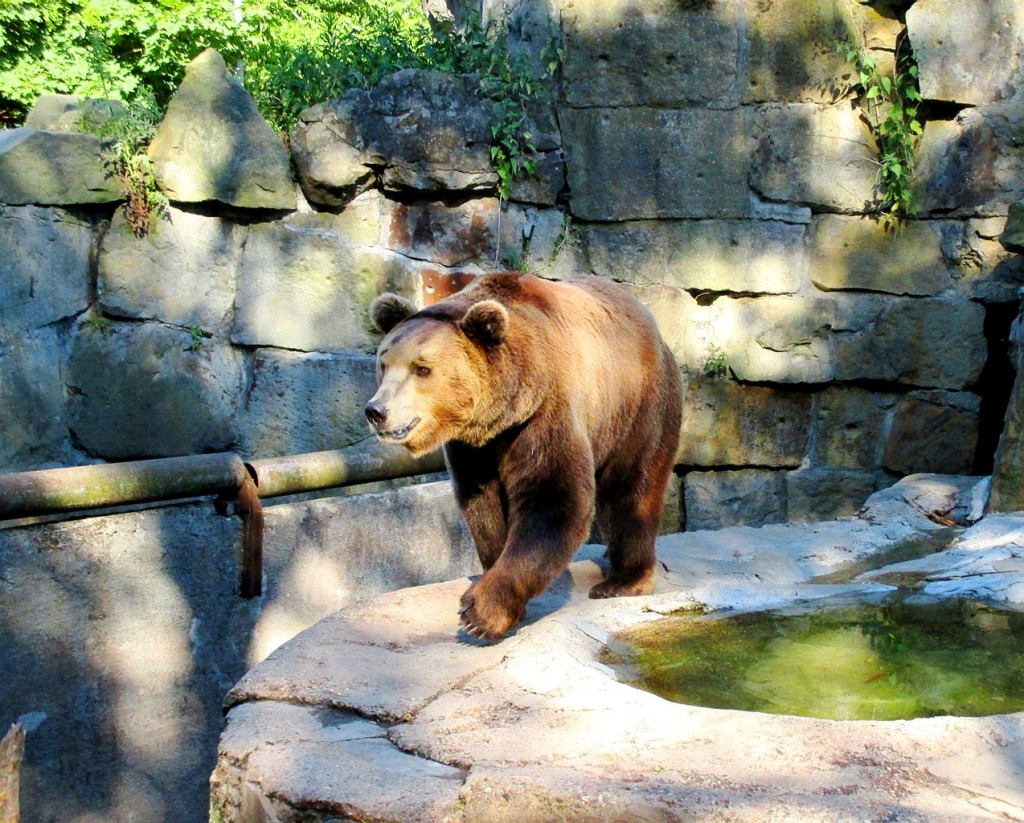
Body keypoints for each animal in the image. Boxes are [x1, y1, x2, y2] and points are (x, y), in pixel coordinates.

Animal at [366, 272, 679, 638]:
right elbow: (483, 506)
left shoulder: (544, 413)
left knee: (633, 488)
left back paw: (623, 582)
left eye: (422, 368)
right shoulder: (474, 448)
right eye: (383, 363)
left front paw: (480, 612)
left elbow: (555, 499)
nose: (377, 411)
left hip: (637, 405)